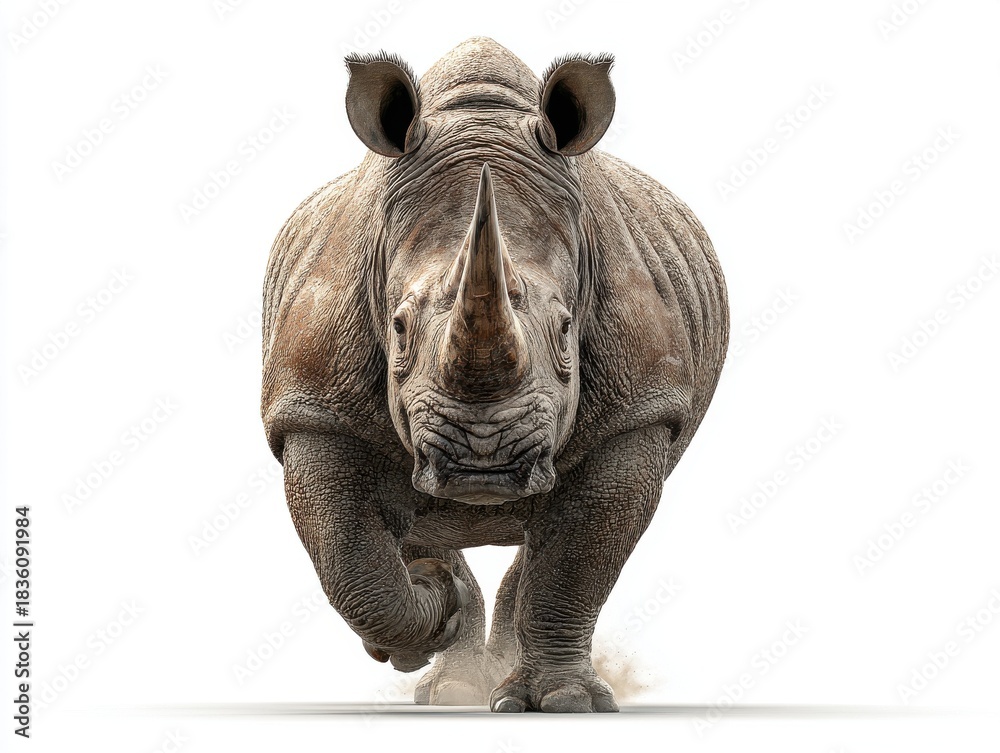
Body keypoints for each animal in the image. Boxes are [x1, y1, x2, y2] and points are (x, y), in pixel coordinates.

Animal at [261, 37, 728, 712]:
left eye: (566, 329)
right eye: (398, 327)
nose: (483, 459)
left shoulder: (640, 412)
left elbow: (575, 565)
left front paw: (563, 704)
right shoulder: (313, 410)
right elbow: (351, 564)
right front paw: (435, 600)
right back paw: (450, 674)